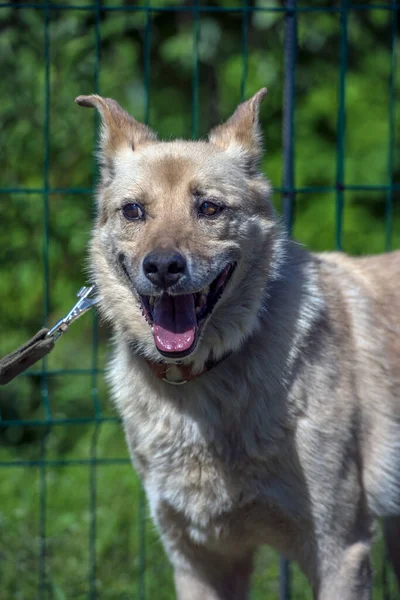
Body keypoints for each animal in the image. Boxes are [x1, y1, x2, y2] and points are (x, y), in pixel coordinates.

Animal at [76, 90, 400, 600]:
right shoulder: (200, 560)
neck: (203, 379)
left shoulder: (340, 551)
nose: (163, 267)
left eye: (209, 208)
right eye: (133, 211)